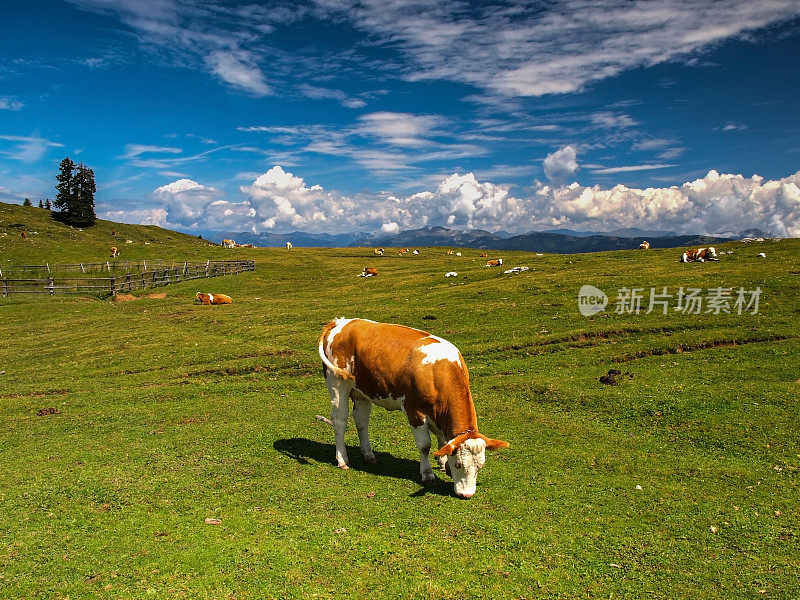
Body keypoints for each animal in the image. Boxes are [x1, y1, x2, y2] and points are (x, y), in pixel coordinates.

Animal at [318, 318, 506, 496]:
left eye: (480, 466)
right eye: (459, 464)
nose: (466, 495)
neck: (438, 373)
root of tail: (340, 322)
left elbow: (443, 441)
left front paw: (443, 463)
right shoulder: (415, 410)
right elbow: (425, 445)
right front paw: (428, 474)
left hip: (362, 391)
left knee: (362, 422)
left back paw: (369, 455)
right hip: (337, 383)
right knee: (340, 421)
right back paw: (342, 459)